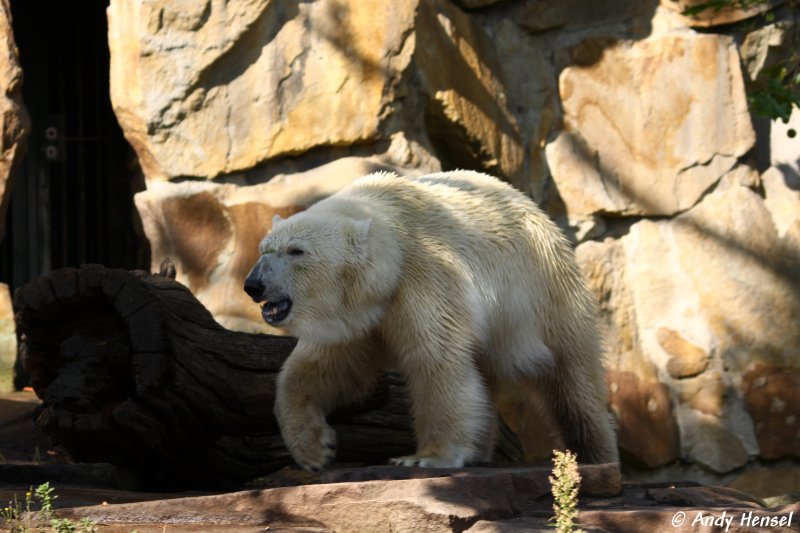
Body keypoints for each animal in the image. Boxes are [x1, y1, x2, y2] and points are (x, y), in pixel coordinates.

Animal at [244, 170, 620, 470]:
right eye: (264, 249)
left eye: (296, 251)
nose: (253, 284)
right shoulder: (360, 317)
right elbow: (321, 368)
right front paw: (314, 450)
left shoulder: (426, 276)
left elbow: (436, 360)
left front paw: (426, 457)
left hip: (544, 291)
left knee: (572, 376)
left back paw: (598, 456)